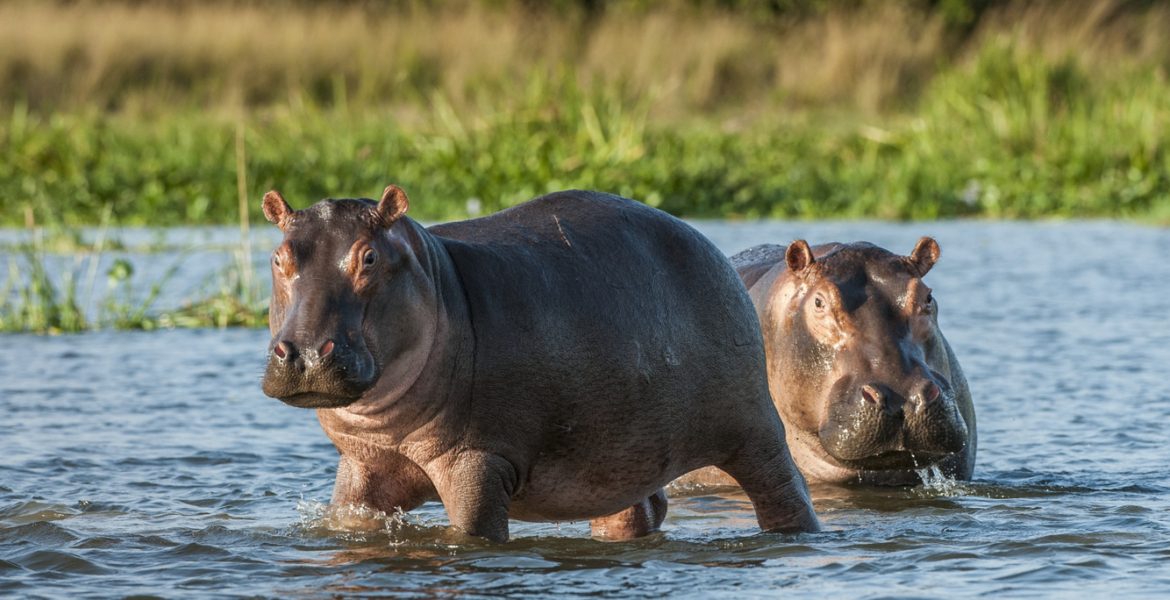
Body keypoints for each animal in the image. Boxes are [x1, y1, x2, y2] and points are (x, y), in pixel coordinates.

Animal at [259, 184, 819, 540]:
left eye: (369, 257)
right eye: (278, 257)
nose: (304, 353)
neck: (436, 278)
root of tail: (711, 247)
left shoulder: (478, 461)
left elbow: (474, 534)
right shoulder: (363, 465)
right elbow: (350, 520)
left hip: (754, 429)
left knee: (784, 491)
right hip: (618, 455)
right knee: (636, 510)